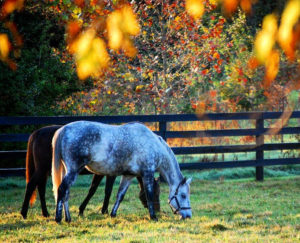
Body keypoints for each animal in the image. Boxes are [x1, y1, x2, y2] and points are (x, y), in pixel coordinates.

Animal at [20, 125, 159, 218]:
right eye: (155, 191)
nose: (157, 209)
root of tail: (37, 133)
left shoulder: (100, 173)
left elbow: (92, 189)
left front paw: (82, 209)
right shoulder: (110, 174)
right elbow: (107, 191)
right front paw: (104, 210)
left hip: (44, 172)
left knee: (41, 189)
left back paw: (45, 213)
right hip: (42, 170)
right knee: (31, 185)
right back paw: (24, 213)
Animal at [52, 121, 192, 222]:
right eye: (183, 195)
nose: (188, 215)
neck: (153, 145)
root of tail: (64, 130)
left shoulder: (128, 175)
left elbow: (120, 195)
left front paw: (113, 214)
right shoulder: (147, 173)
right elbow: (149, 194)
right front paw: (153, 216)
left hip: (68, 170)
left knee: (66, 193)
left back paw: (68, 218)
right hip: (73, 170)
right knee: (62, 189)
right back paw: (58, 218)